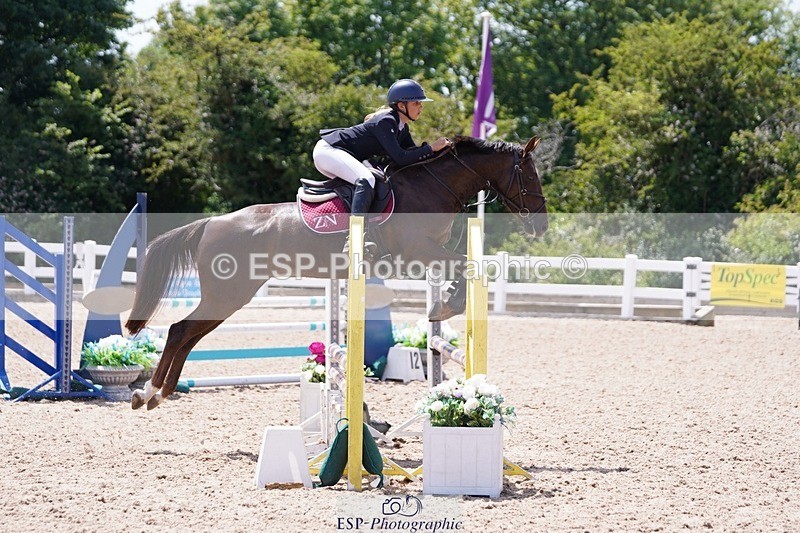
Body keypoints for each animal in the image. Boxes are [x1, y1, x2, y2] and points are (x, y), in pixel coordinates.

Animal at [126, 135, 548, 410]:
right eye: (530, 176)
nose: (542, 226)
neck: (433, 185)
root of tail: (212, 222)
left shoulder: (427, 254)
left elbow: (465, 265)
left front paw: (443, 304)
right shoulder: (419, 251)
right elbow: (464, 264)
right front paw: (447, 304)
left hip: (229, 296)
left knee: (188, 335)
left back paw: (158, 394)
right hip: (228, 293)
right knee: (180, 330)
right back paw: (148, 392)